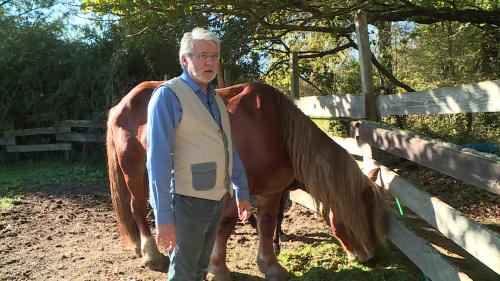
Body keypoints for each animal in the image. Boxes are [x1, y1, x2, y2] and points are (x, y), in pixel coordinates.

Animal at [105, 80, 386, 278]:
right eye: (363, 214)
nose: (371, 258)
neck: (276, 130)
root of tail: (121, 104)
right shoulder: (234, 189)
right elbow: (226, 224)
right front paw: (218, 269)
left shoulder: (271, 189)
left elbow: (267, 223)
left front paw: (271, 266)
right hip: (135, 172)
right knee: (138, 208)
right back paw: (151, 255)